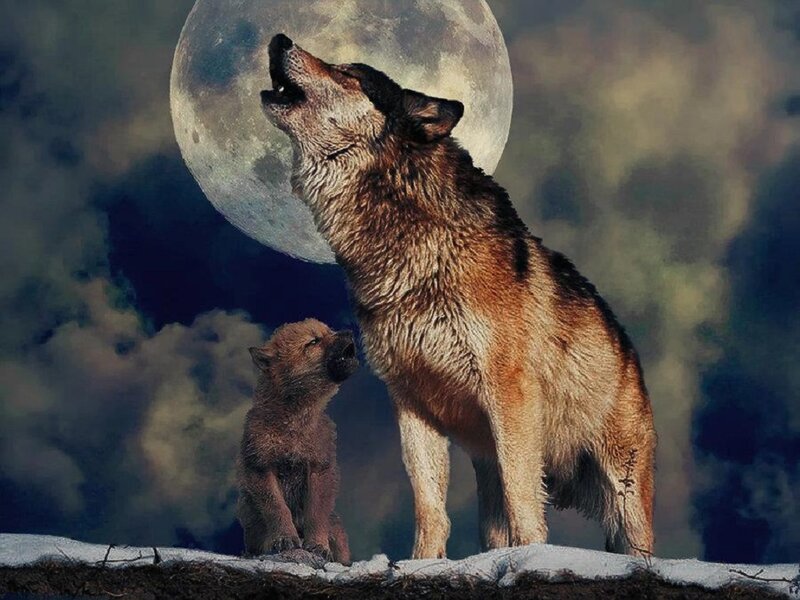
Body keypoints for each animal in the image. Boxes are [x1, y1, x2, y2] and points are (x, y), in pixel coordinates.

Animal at [237, 318, 357, 564]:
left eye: (330, 331)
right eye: (313, 342)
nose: (350, 332)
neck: (294, 424)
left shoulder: (319, 469)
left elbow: (316, 513)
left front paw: (318, 545)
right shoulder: (261, 468)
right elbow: (277, 509)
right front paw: (284, 539)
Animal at [260, 33, 657, 558]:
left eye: (349, 74)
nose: (278, 39)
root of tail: (630, 348)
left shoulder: (508, 393)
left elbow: (523, 498)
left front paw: (529, 556)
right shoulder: (411, 401)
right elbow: (430, 508)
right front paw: (422, 564)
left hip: (622, 491)